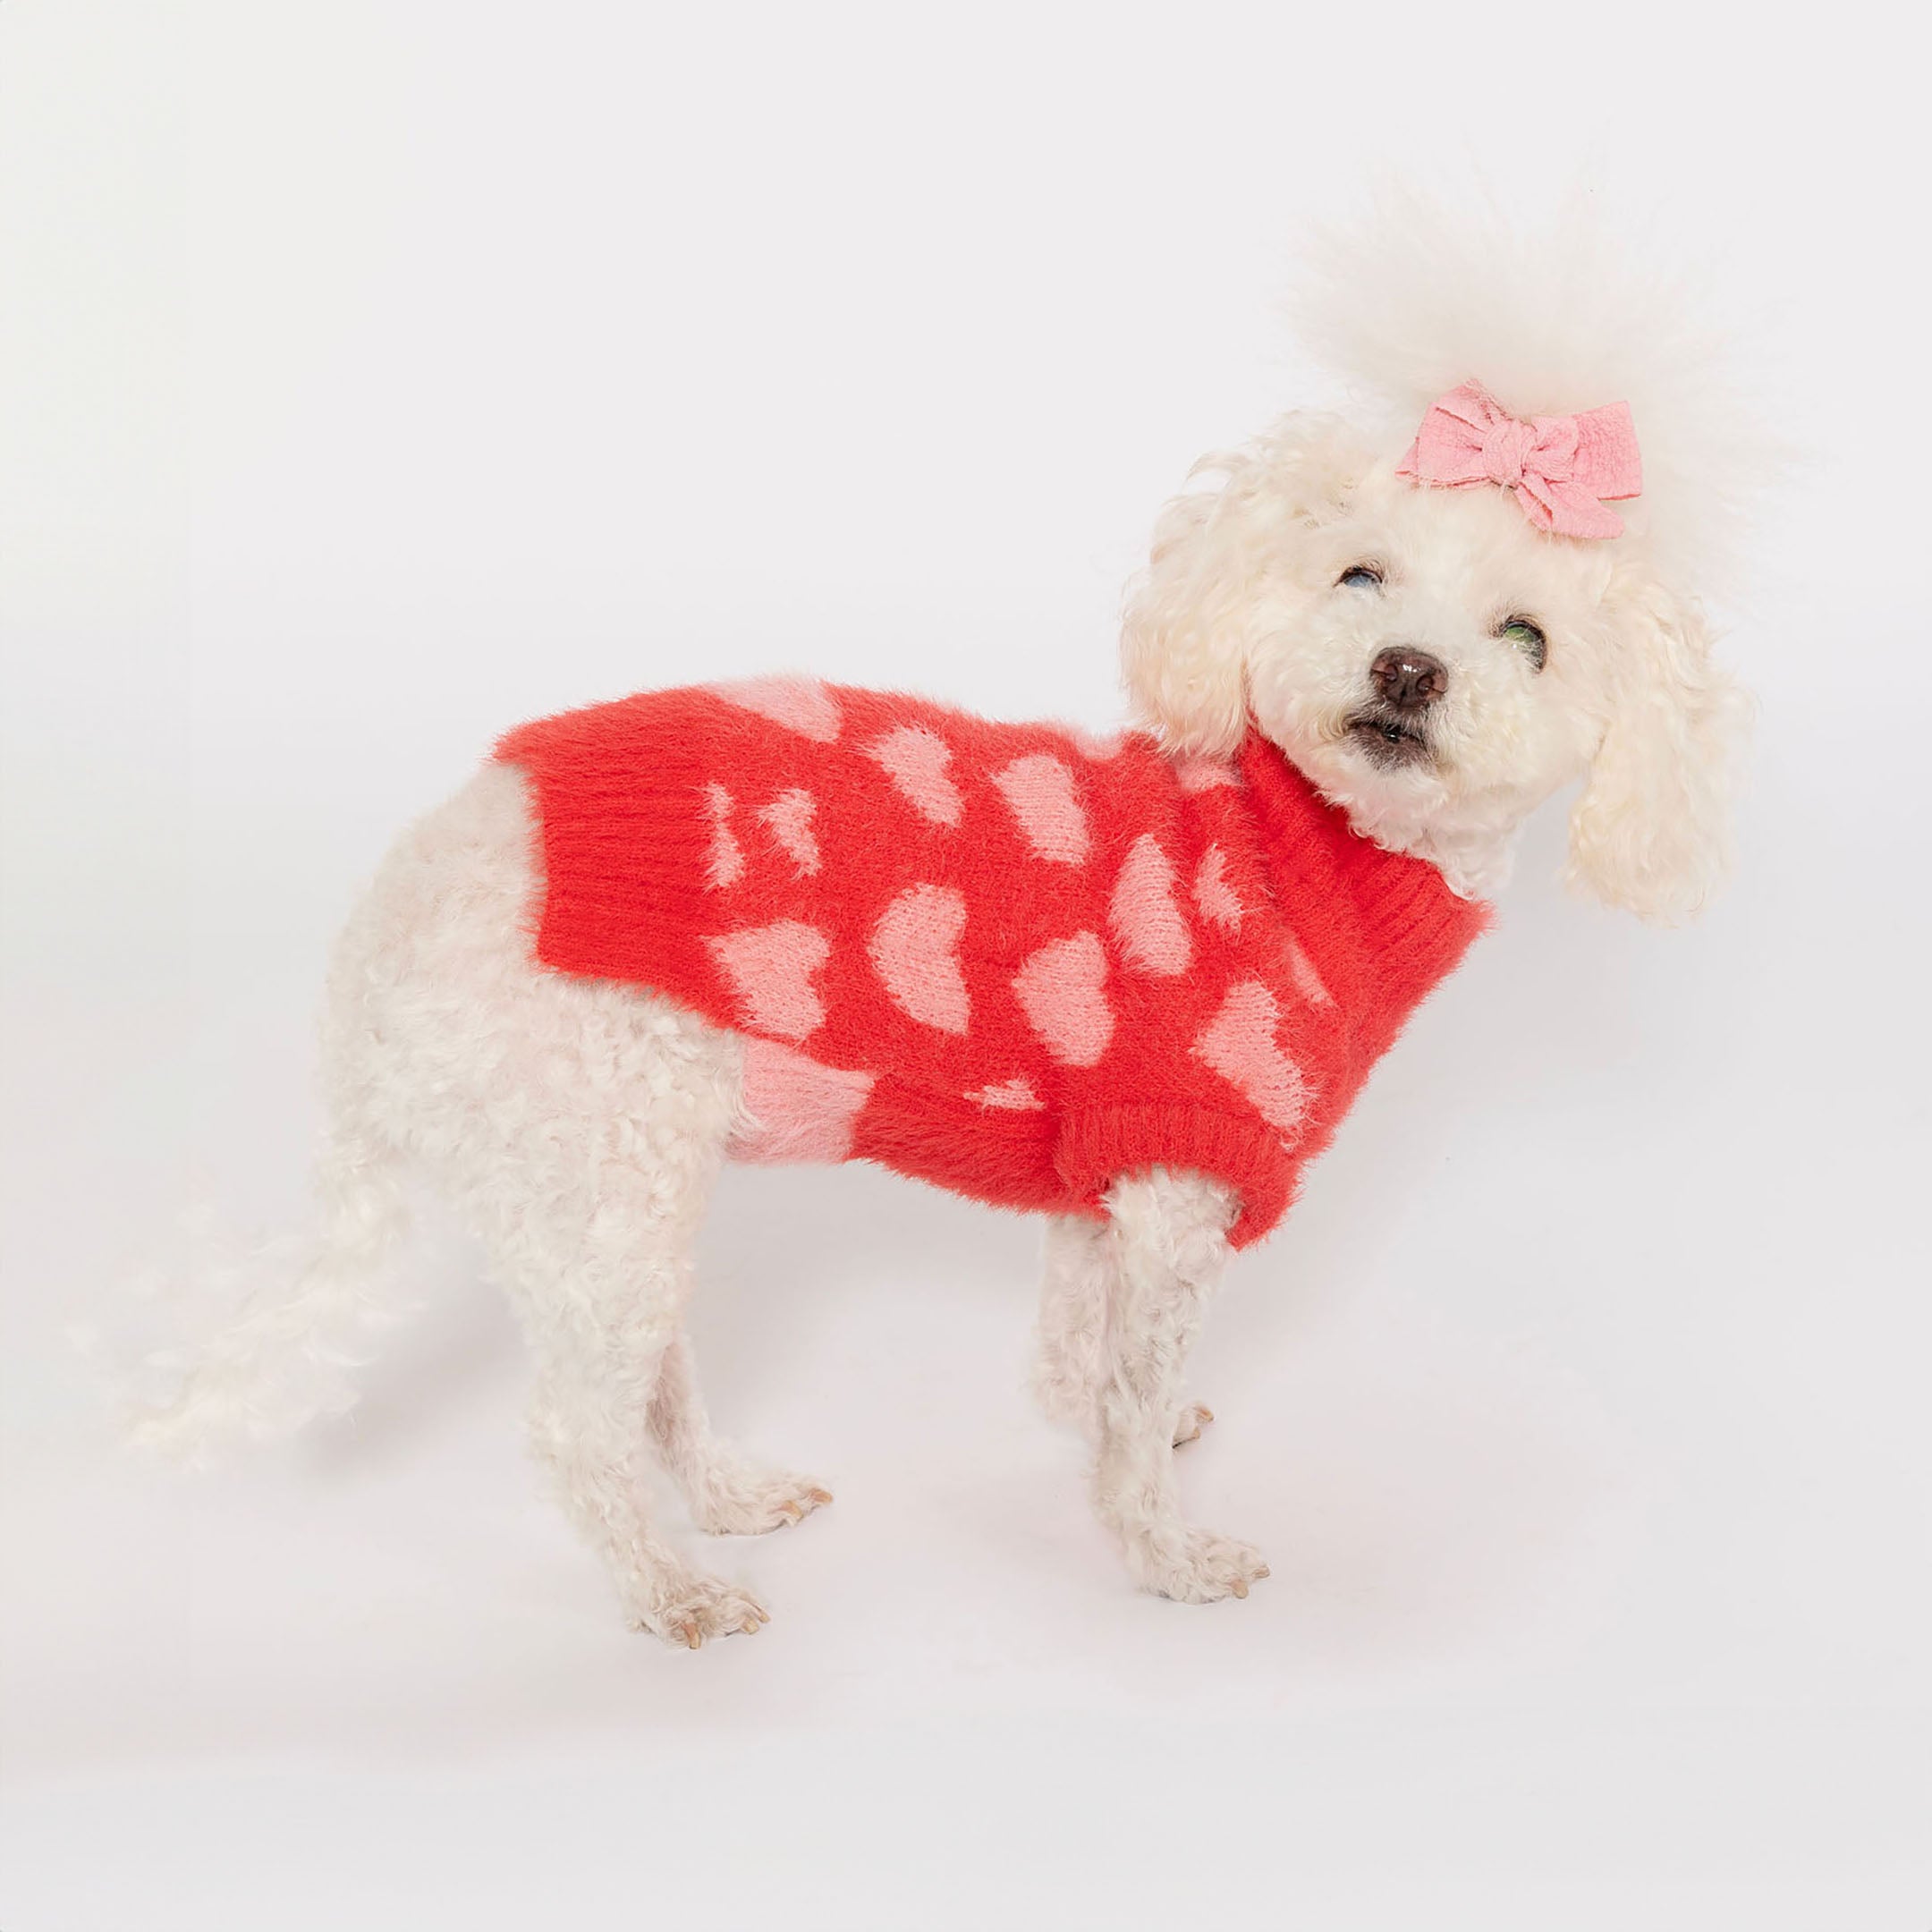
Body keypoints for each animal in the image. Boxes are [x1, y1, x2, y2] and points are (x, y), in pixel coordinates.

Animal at [131, 208, 1754, 1646]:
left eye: (1528, 638)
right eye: (1359, 575)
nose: (1408, 670)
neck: (1306, 854)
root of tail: (400, 916)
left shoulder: (1107, 1188)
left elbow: (1083, 1367)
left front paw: (1113, 1440)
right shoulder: (1178, 1184)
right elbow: (1130, 1404)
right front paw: (1164, 1557)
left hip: (612, 1196)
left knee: (644, 1377)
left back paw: (723, 1495)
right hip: (597, 1157)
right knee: (575, 1428)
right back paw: (672, 1592)